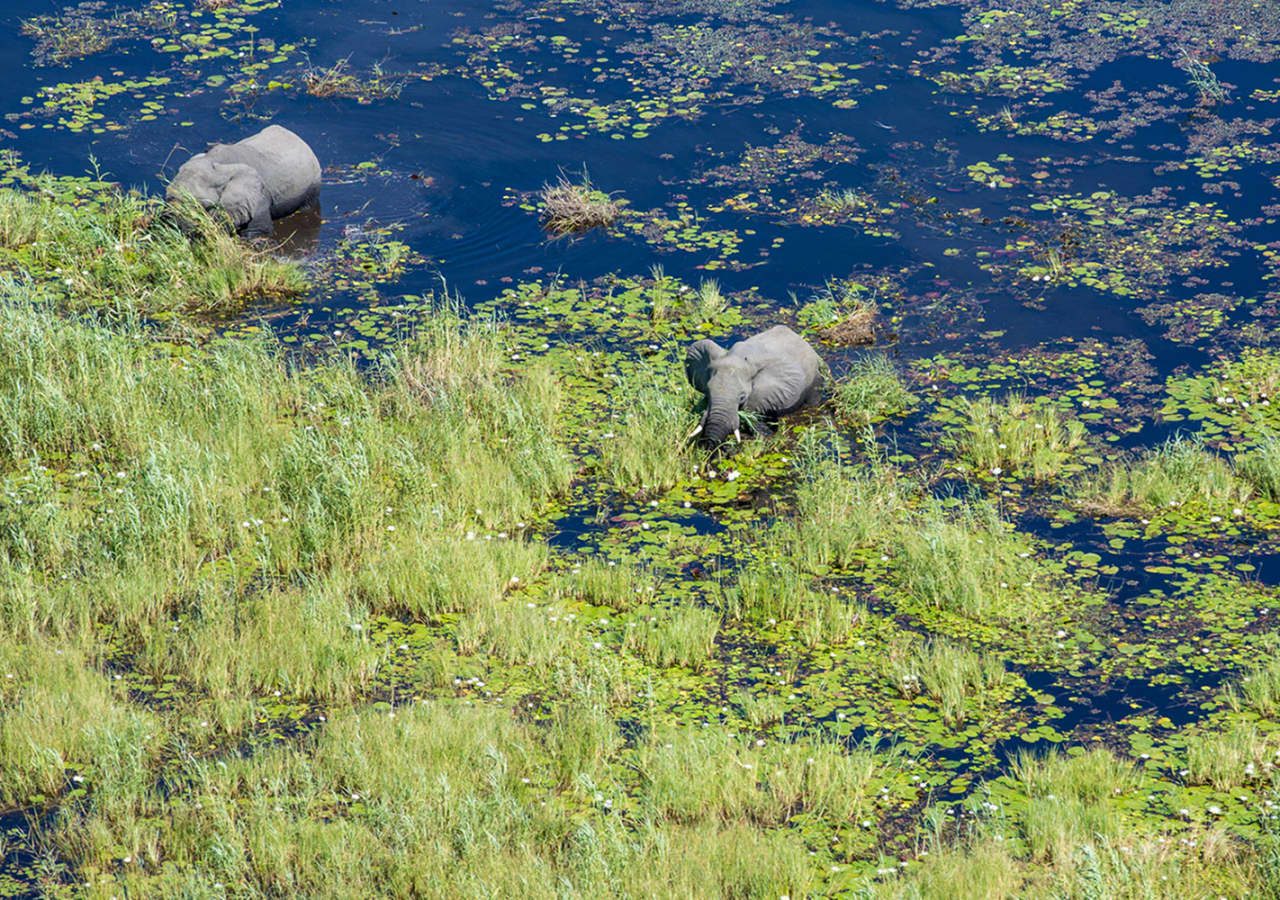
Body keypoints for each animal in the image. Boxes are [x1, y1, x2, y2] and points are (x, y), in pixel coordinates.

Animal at [165, 127, 320, 239]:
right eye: (167, 198)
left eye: (202, 206)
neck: (216, 163)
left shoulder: (259, 198)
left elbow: (259, 232)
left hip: (313, 187)